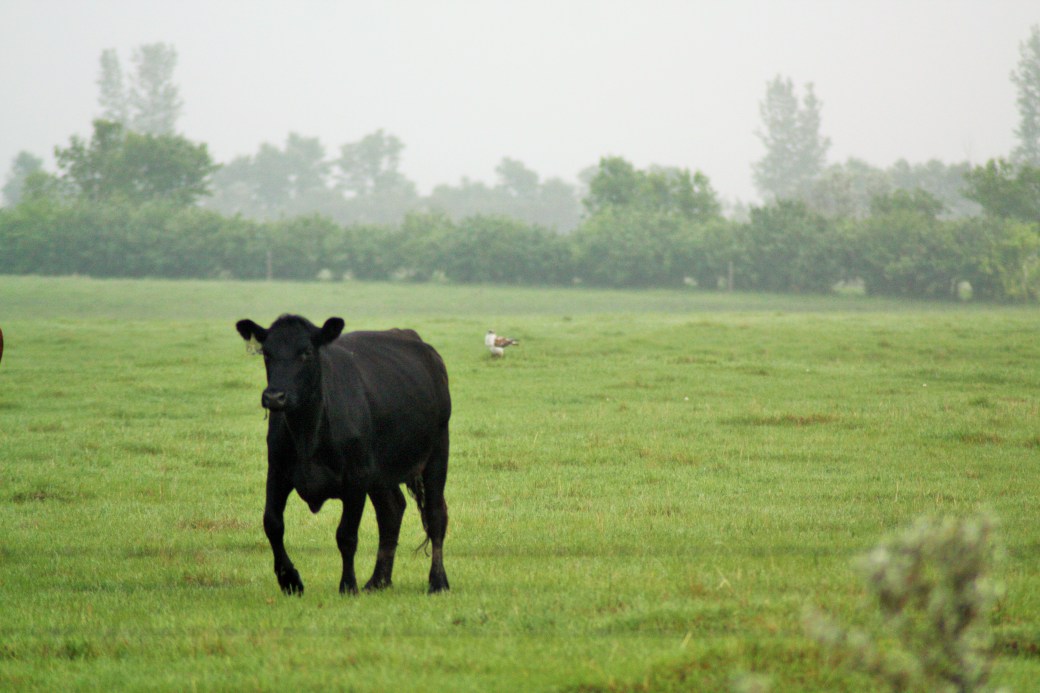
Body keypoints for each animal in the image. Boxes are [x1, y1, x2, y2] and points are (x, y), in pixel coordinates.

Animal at [235, 314, 451, 595]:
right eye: (267, 353)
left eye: (306, 352)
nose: (274, 397)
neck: (308, 433)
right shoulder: (278, 471)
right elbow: (272, 523)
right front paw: (290, 580)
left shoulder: (356, 479)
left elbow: (346, 535)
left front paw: (348, 585)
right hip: (380, 474)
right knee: (391, 511)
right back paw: (378, 580)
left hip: (437, 451)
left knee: (435, 515)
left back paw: (438, 582)